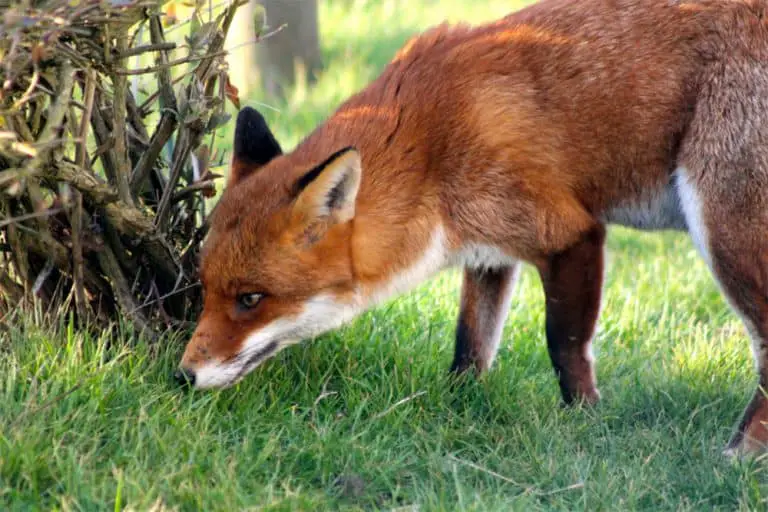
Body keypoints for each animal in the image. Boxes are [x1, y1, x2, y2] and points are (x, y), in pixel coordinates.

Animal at [176, 0, 768, 455]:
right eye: (206, 289)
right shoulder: (490, 252)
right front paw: (462, 410)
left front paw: (585, 424)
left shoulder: (572, 234)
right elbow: (470, 347)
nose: (182, 376)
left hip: (724, 232)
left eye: (251, 299)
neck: (429, 144)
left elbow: (564, 346)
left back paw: (738, 455)